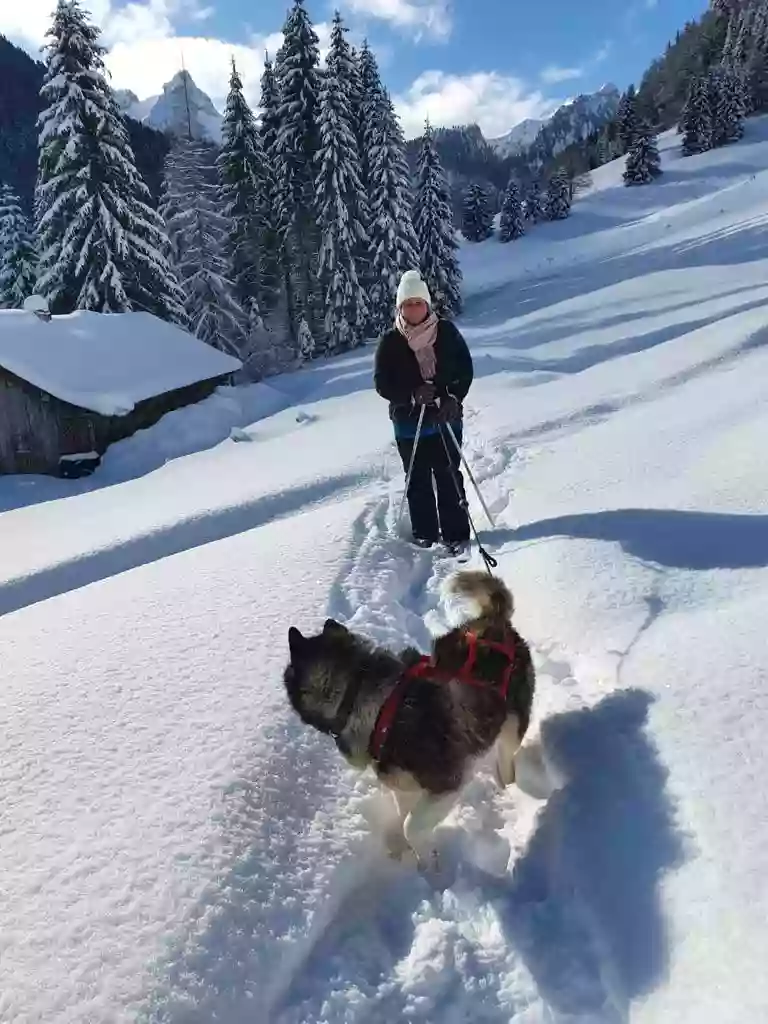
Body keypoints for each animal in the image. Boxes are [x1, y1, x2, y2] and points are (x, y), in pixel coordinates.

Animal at [282, 573, 536, 860]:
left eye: (287, 676)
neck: (370, 702)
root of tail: (494, 621)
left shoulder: (448, 782)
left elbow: (411, 826)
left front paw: (431, 861)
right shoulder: (404, 786)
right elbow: (403, 818)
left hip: (512, 726)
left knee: (506, 758)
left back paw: (509, 789)